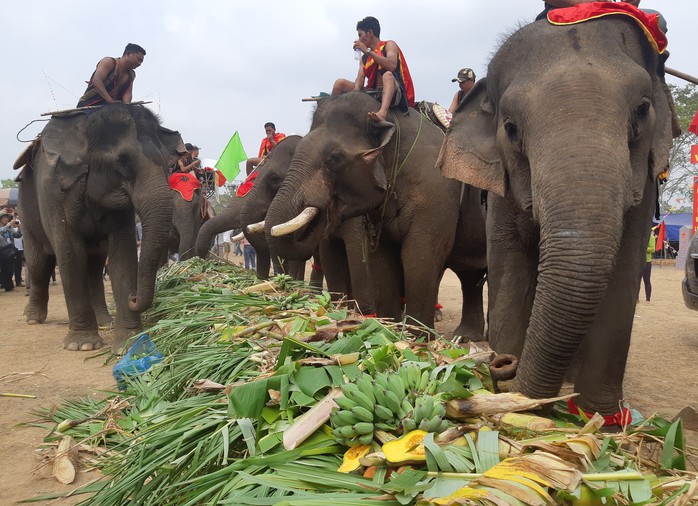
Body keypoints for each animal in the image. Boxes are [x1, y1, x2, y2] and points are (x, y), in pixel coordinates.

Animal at [14, 104, 182, 352]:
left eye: (167, 164)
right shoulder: (55, 193)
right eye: (122, 162)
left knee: (94, 266)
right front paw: (82, 345)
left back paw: (105, 322)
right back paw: (32, 318)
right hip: (25, 208)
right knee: (39, 263)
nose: (133, 299)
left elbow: (123, 255)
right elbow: (70, 253)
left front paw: (129, 345)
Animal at [260, 93, 484, 334]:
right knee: (471, 276)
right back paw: (464, 337)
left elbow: (419, 257)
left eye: (335, 157)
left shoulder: (437, 192)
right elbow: (380, 260)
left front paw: (416, 337)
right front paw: (387, 328)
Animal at [438, 14, 672, 420]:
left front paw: (603, 420)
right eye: (511, 128)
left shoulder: (643, 186)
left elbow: (624, 271)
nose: (501, 364)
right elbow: (509, 267)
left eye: (643, 109)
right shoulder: (501, 197)